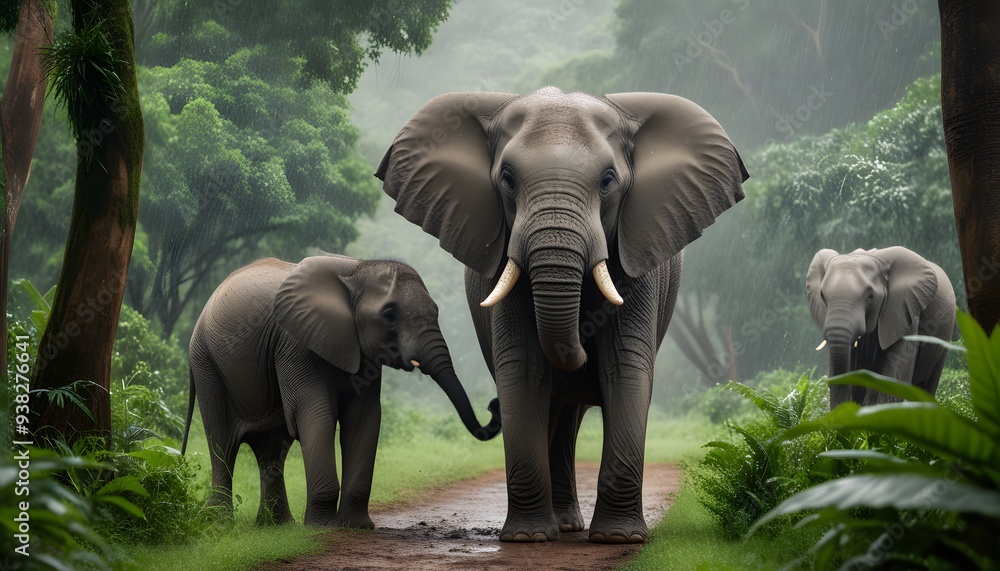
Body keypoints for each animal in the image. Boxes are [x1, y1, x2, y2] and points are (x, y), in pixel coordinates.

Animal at [180, 254, 501, 527]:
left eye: (436, 311)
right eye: (389, 316)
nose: (493, 404)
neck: (357, 269)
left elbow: (364, 418)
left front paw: (356, 527)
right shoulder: (294, 342)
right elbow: (315, 412)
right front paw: (322, 527)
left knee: (270, 447)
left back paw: (277, 526)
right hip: (205, 361)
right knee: (222, 440)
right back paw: (220, 524)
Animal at [376, 87, 747, 543]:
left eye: (608, 181)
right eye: (507, 179)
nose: (582, 345)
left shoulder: (639, 256)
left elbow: (624, 366)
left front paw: (618, 539)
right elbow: (524, 367)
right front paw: (527, 539)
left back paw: (570, 524)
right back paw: (561, 525)